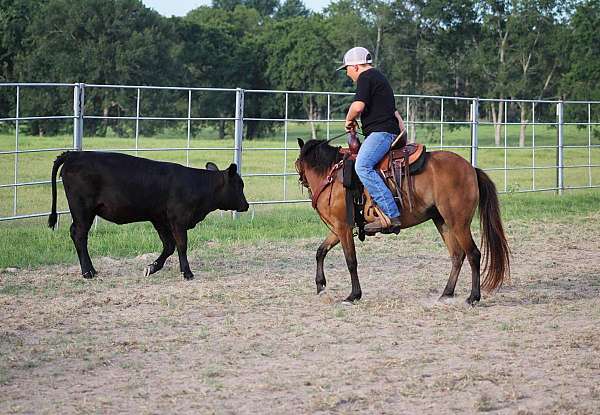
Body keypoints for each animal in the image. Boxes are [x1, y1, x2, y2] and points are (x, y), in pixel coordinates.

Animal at [48, 151, 250, 282]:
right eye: (239, 185)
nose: (246, 205)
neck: (196, 185)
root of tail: (74, 155)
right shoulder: (178, 219)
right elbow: (182, 245)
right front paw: (187, 273)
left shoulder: (159, 219)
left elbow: (169, 246)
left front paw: (151, 268)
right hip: (82, 210)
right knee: (79, 235)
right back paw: (88, 272)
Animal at [296, 138, 510, 304]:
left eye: (297, 163)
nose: (302, 181)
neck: (332, 177)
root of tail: (471, 169)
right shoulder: (340, 228)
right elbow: (320, 251)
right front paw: (320, 286)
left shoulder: (343, 227)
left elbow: (351, 261)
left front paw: (353, 295)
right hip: (442, 221)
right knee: (457, 255)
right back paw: (446, 293)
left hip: (458, 223)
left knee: (473, 254)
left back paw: (473, 297)